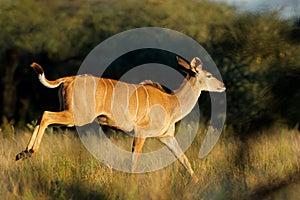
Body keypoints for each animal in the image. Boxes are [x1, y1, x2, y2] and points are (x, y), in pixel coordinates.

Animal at [15, 56, 225, 181]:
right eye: (208, 75)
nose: (223, 85)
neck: (171, 102)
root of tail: (68, 79)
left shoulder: (166, 137)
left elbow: (184, 159)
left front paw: (196, 182)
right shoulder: (141, 133)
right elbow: (135, 162)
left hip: (70, 115)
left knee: (42, 116)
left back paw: (22, 153)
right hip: (76, 117)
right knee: (46, 115)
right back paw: (29, 152)